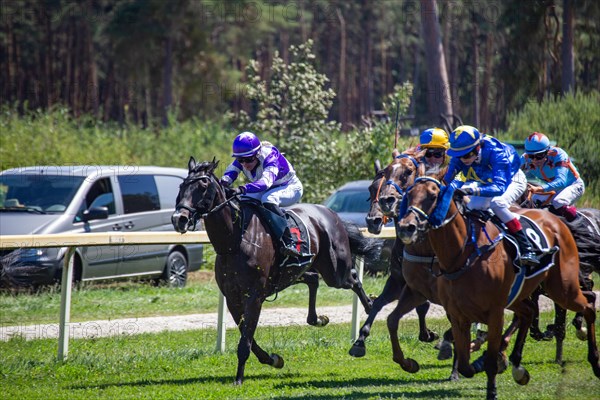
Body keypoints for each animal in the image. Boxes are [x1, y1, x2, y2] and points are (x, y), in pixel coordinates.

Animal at [171, 157, 376, 384]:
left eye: (203, 185)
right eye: (182, 186)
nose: (179, 218)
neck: (234, 241)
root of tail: (331, 214)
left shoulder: (255, 296)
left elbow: (246, 338)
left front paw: (239, 378)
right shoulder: (232, 297)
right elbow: (246, 334)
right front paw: (272, 359)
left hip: (335, 272)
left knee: (354, 278)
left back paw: (369, 311)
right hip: (296, 272)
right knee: (313, 279)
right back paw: (318, 319)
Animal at [396, 178, 596, 400]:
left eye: (432, 196)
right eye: (408, 194)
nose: (406, 227)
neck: (463, 256)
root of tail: (556, 219)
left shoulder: (494, 313)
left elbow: (489, 358)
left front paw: (491, 384)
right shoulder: (458, 315)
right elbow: (465, 364)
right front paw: (478, 361)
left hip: (562, 287)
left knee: (588, 304)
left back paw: (593, 358)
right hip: (522, 295)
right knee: (529, 312)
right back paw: (517, 365)